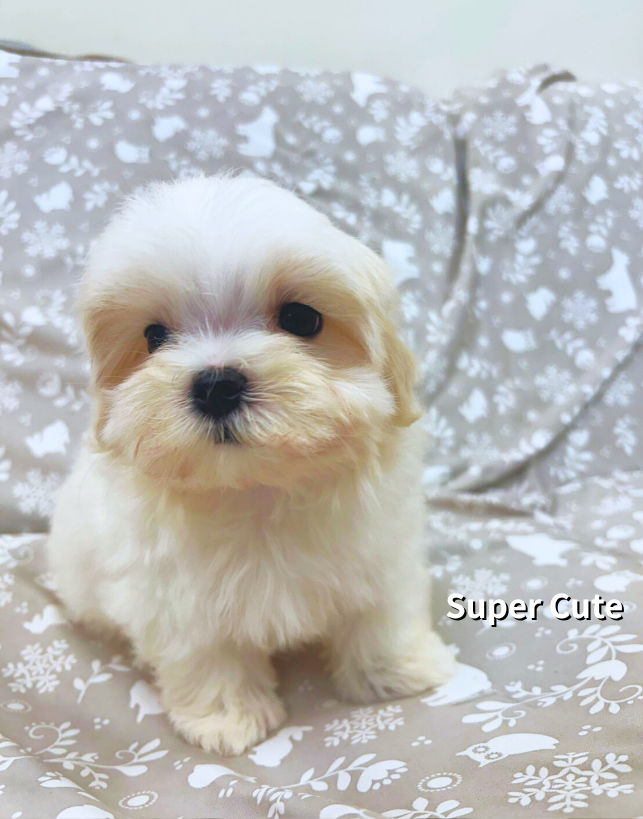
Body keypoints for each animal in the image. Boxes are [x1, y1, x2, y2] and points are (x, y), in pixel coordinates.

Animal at [47, 174, 455, 755]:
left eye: (302, 318)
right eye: (154, 337)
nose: (216, 385)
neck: (258, 487)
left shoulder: (381, 548)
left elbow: (382, 610)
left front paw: (398, 672)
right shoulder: (176, 594)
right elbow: (205, 651)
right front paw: (226, 718)